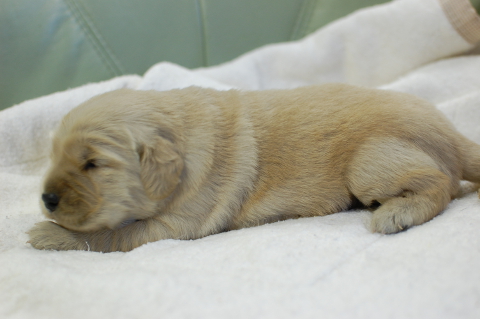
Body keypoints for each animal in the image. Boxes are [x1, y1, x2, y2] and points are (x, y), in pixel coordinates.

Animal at [27, 84, 480, 252]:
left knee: (442, 184)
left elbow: (114, 236)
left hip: (370, 162)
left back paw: (397, 212)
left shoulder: (175, 224)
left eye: (92, 164)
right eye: (54, 155)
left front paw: (52, 235)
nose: (47, 199)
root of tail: (451, 132)